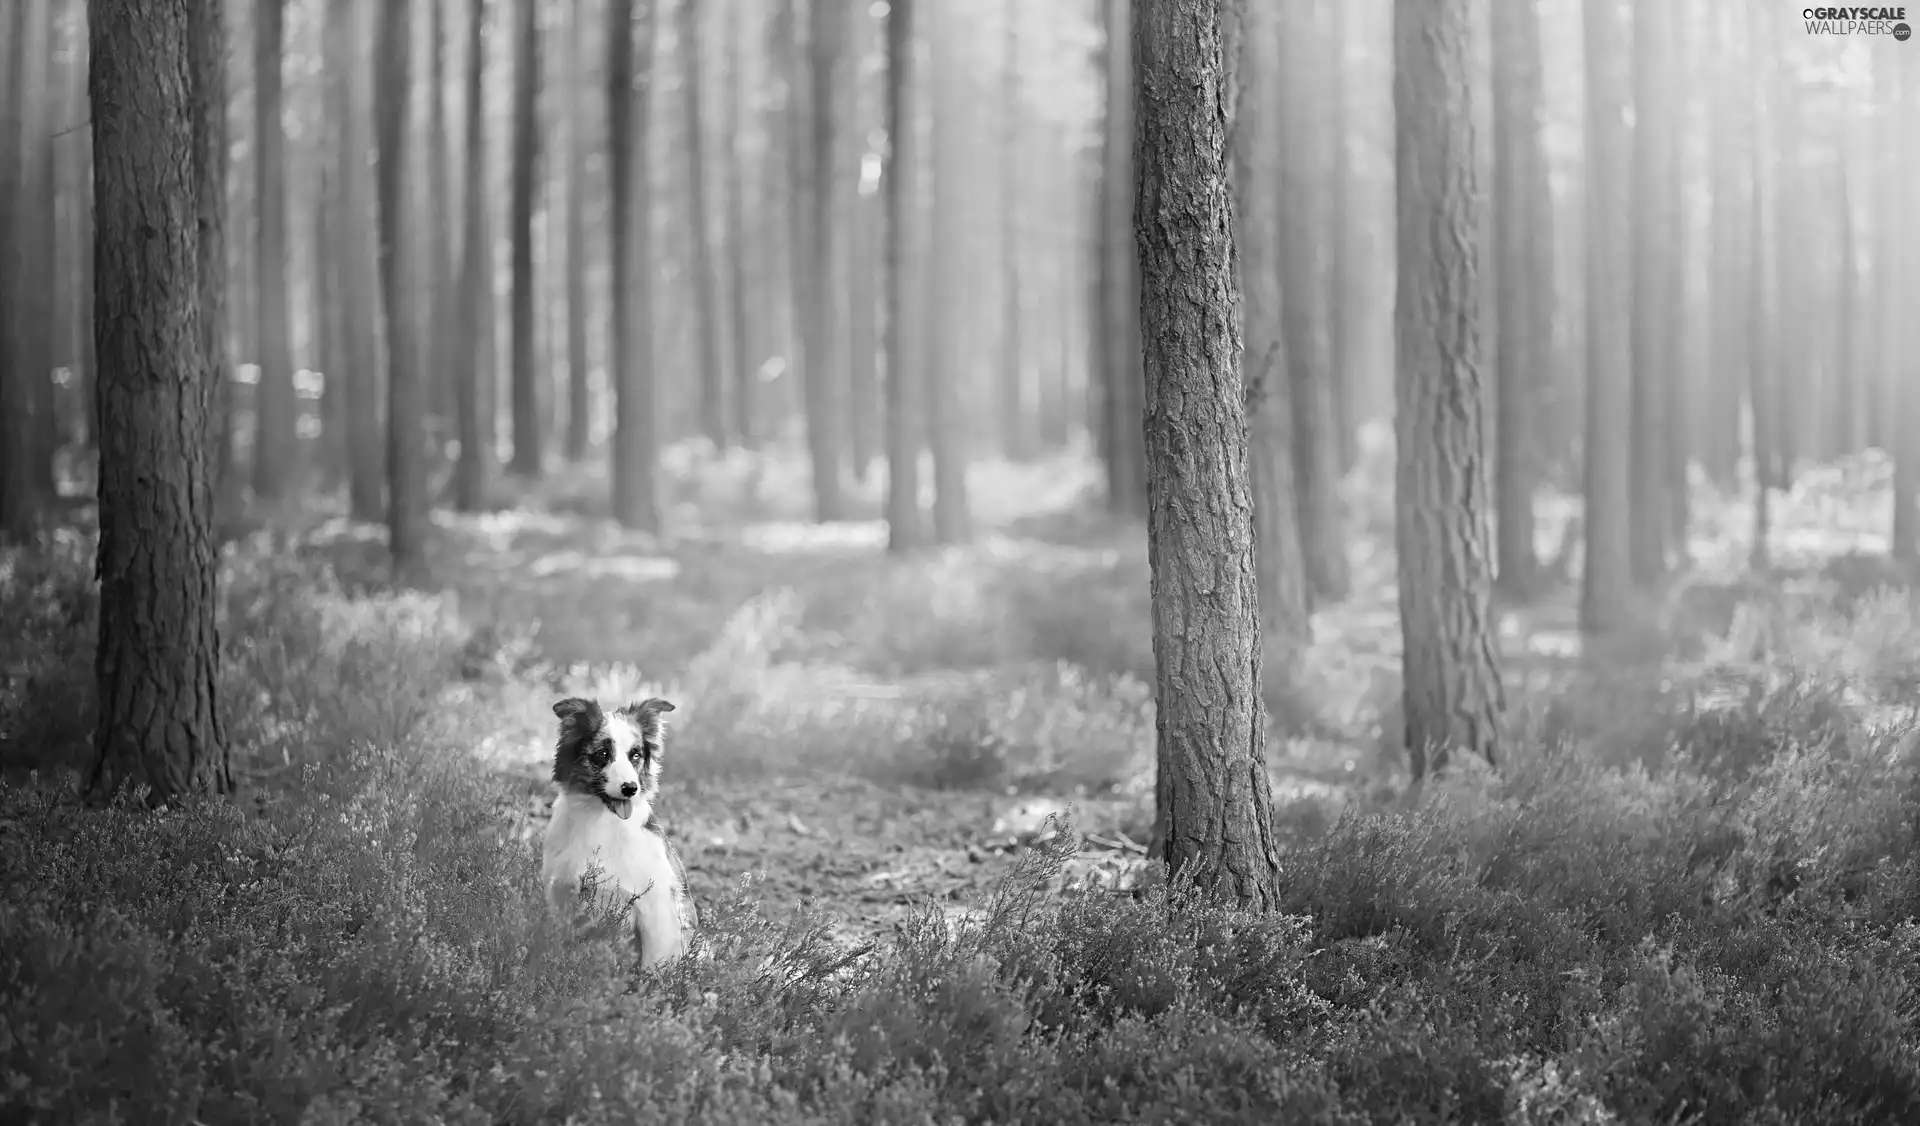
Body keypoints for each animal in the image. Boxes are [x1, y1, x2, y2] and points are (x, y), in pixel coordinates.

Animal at [541, 691, 698, 964]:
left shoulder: (656, 907)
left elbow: (655, 963)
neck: (601, 821)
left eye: (635, 755)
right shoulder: (561, 893)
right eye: (603, 754)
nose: (630, 788)